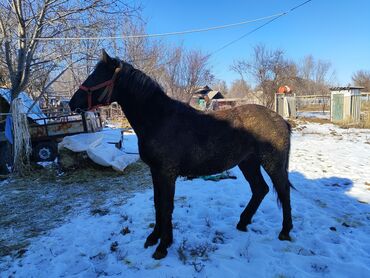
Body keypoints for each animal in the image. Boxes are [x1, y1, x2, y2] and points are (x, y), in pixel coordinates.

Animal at [68, 50, 294, 260]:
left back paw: (285, 231)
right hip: (248, 163)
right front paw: (154, 237)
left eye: (97, 76)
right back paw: (242, 222)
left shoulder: (167, 173)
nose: (71, 103)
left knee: (282, 190)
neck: (159, 119)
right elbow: (157, 204)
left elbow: (166, 206)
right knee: (260, 189)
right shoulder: (155, 172)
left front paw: (163, 246)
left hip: (271, 163)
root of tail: (281, 120)